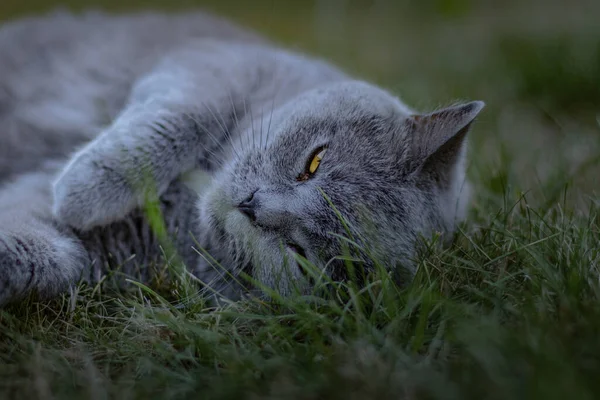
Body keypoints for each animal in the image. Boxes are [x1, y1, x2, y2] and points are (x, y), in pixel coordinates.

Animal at [0, 8, 482, 304]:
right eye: (314, 163)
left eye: (302, 255)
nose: (253, 206)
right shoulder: (213, 65)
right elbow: (181, 118)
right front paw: (82, 190)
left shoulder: (116, 247)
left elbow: (51, 253)